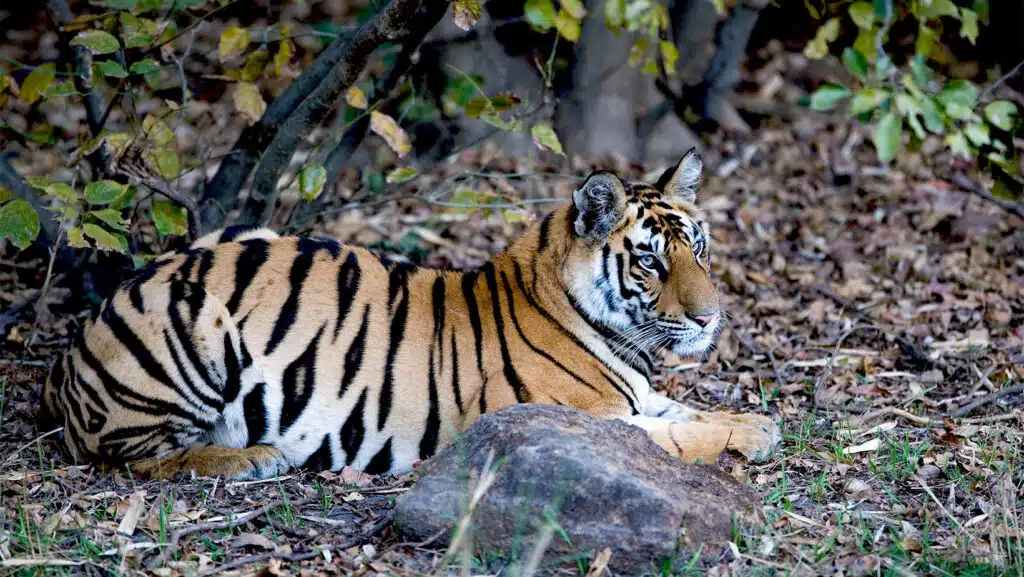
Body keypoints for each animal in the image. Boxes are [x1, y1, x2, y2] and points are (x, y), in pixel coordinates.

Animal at [39, 150, 781, 480]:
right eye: (651, 262)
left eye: (700, 248)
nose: (711, 319)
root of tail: (70, 349)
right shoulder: (568, 416)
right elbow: (673, 437)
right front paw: (755, 433)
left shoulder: (636, 395)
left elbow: (685, 411)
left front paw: (752, 421)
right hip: (188, 328)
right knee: (133, 457)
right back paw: (254, 458)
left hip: (238, 236)